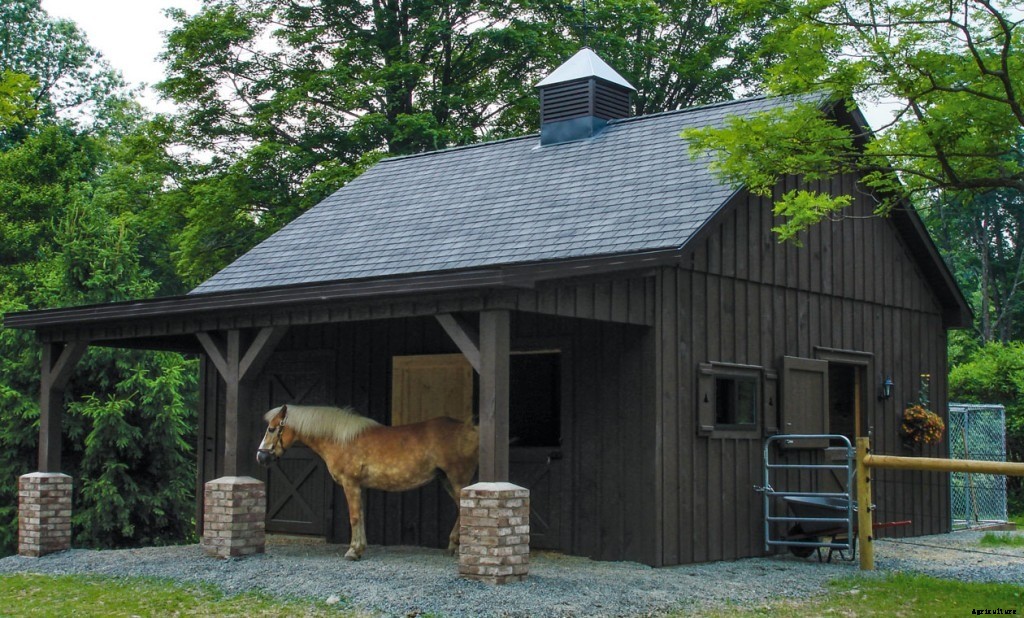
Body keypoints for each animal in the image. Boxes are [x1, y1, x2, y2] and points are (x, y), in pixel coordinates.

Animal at [256, 404, 478, 560]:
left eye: (272, 429)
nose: (261, 457)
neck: (340, 440)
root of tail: (469, 429)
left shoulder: (350, 484)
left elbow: (354, 517)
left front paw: (353, 551)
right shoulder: (358, 487)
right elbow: (361, 516)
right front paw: (360, 547)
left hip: (457, 480)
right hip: (447, 481)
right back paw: (453, 545)